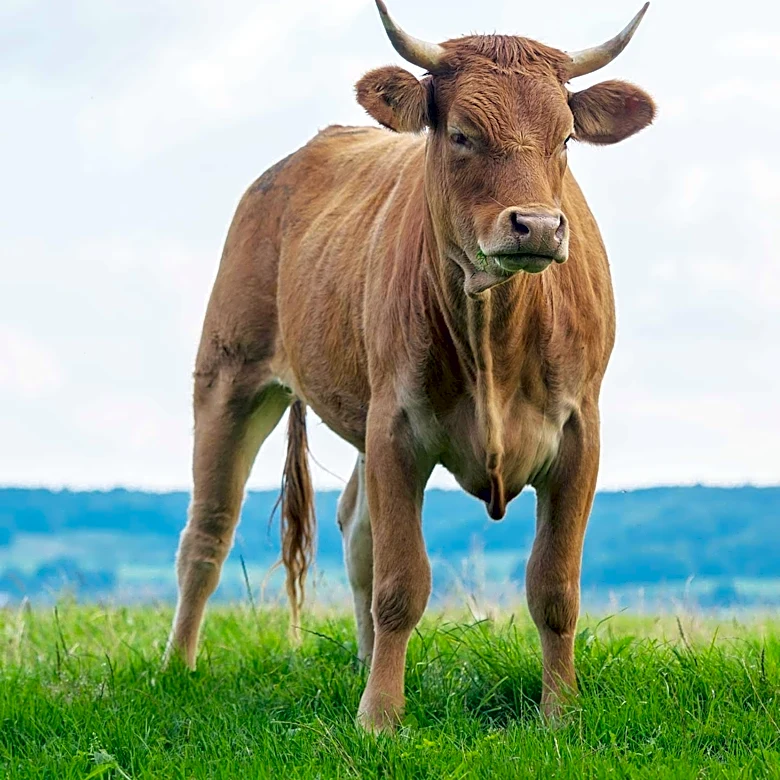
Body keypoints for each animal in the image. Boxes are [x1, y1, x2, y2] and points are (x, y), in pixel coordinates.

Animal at [163, 1, 656, 732]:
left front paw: (560, 714)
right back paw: (176, 670)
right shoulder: (398, 428)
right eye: (461, 133)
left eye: (565, 139)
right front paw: (380, 719)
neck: (495, 333)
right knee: (209, 530)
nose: (537, 227)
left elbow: (555, 588)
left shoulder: (578, 435)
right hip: (230, 372)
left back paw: (365, 664)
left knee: (355, 526)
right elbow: (402, 583)